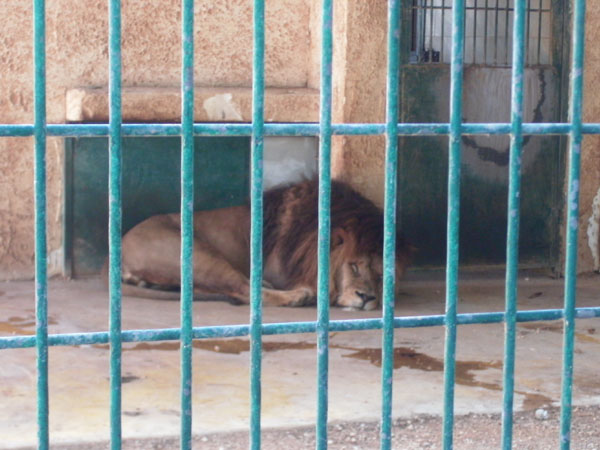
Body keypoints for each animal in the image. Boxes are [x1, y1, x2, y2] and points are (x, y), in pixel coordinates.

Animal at [118, 179, 412, 310]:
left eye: (381, 275)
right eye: (353, 266)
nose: (367, 298)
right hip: (198, 254)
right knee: (242, 290)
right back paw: (298, 297)